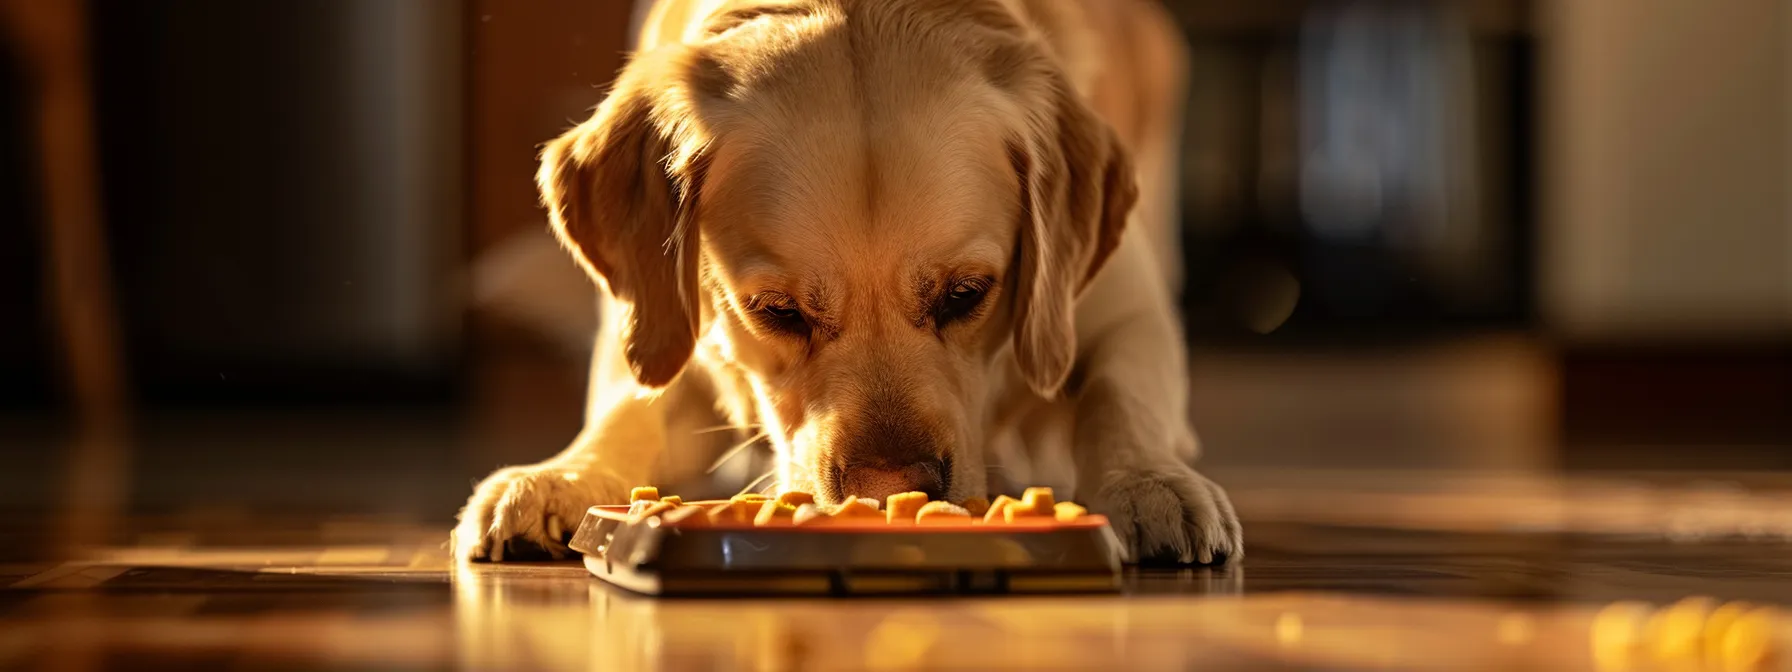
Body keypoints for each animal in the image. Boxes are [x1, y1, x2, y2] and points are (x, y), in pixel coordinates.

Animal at [451, 0, 1247, 569]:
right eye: (775, 310)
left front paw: (1152, 484)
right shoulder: (668, 327)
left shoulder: (1125, 311)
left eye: (968, 294)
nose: (891, 493)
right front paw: (557, 478)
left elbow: (1121, 394)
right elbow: (629, 415)